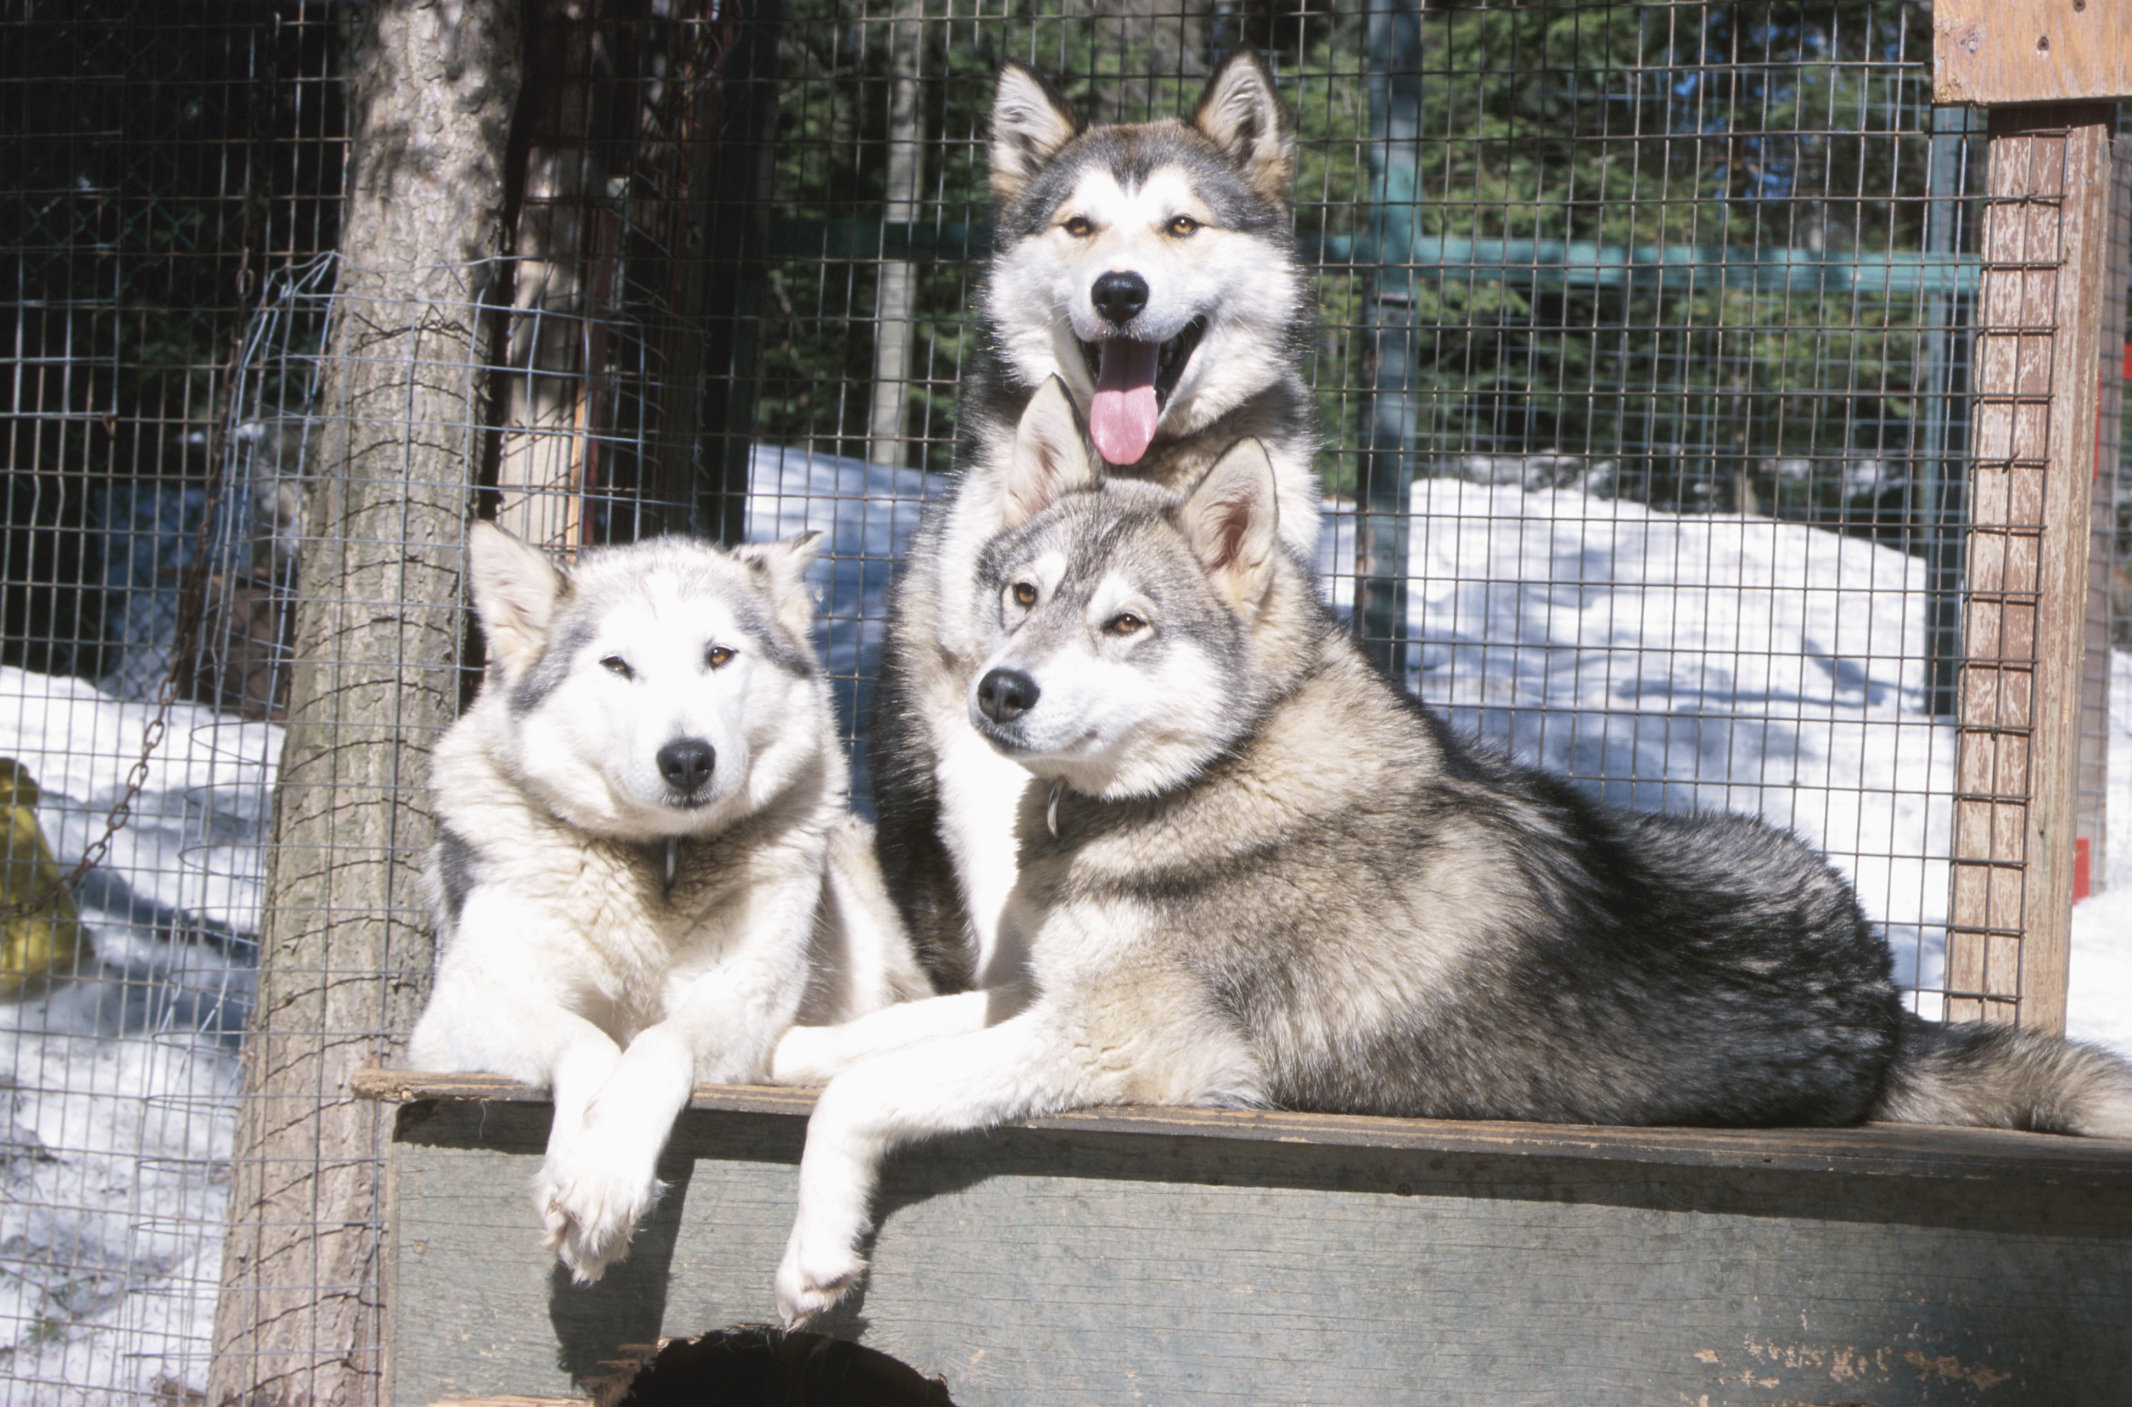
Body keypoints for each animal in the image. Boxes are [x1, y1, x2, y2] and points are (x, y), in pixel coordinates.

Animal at [407, 528, 925, 1287]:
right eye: (618, 665)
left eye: (718, 655)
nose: (687, 759)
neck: (659, 865)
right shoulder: (458, 1015)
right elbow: (588, 1041)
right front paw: (577, 1176)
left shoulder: (747, 997)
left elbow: (657, 1044)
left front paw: (604, 1178)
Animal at [771, 379, 2132, 1321]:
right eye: (1022, 596)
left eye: (1123, 625)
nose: (998, 693)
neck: (1207, 778)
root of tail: (1889, 1015)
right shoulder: (1030, 995)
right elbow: (867, 1038)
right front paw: (774, 1044)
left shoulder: (1129, 1049)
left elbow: (866, 1094)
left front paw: (815, 1251)